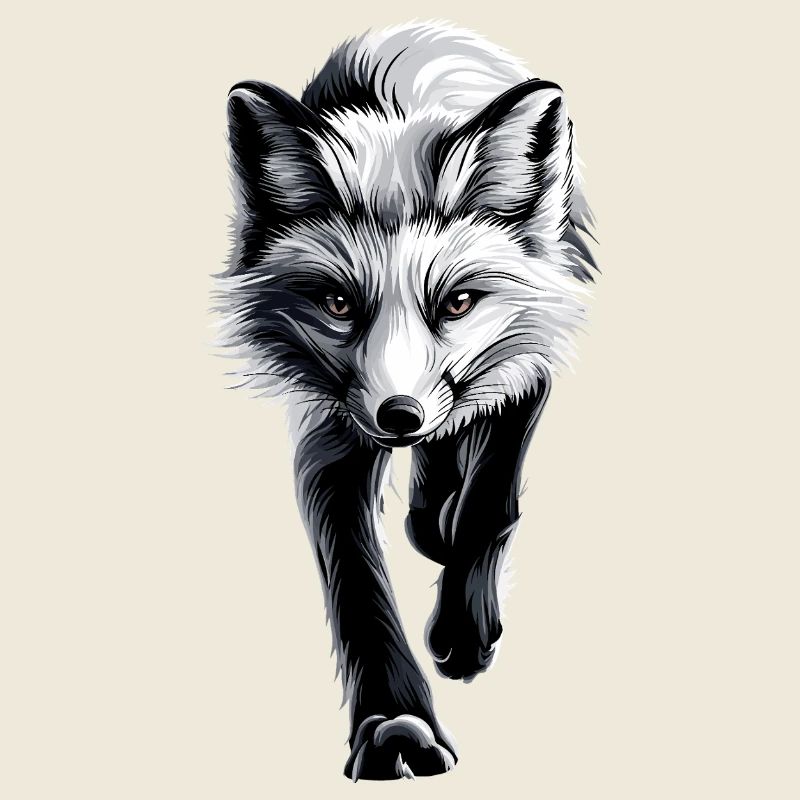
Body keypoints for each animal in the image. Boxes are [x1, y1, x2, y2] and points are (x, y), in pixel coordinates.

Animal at [216, 21, 597, 780]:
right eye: (338, 304)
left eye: (458, 302)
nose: (400, 416)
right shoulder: (334, 430)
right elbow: (357, 584)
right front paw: (395, 725)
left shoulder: (529, 352)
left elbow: (488, 508)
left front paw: (464, 630)